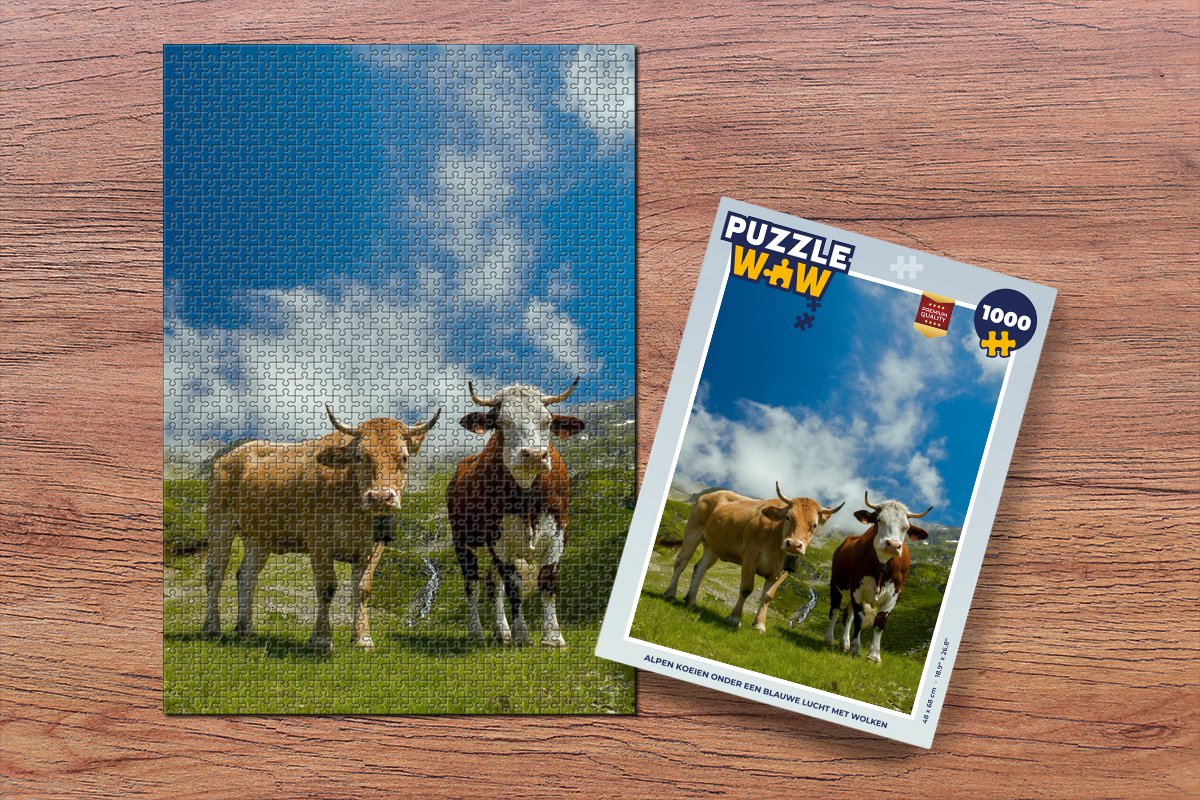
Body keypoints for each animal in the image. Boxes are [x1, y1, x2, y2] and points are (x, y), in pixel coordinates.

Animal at [202, 404, 440, 653]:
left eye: (403, 457)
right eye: (360, 456)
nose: (380, 497)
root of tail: (231, 455)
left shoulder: (373, 547)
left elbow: (363, 589)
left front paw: (362, 637)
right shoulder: (319, 540)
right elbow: (326, 588)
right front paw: (322, 639)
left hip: (258, 537)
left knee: (246, 576)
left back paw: (246, 629)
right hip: (219, 521)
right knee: (215, 573)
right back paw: (212, 628)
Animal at [447, 378, 585, 648]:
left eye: (547, 422)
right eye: (502, 423)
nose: (534, 454)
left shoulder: (559, 531)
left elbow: (547, 581)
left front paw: (553, 637)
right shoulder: (497, 539)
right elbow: (514, 586)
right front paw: (522, 634)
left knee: (493, 586)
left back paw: (503, 632)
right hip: (463, 542)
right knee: (473, 586)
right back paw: (477, 632)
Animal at [664, 483, 844, 631]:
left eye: (814, 525)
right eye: (788, 517)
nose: (793, 544)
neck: (776, 544)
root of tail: (711, 495)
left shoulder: (783, 572)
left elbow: (768, 596)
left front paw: (759, 624)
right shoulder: (750, 556)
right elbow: (746, 589)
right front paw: (735, 618)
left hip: (713, 546)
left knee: (700, 569)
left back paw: (691, 600)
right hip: (693, 530)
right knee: (682, 562)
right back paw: (670, 593)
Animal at [826, 492, 932, 664]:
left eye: (906, 527)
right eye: (879, 520)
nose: (893, 545)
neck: (882, 566)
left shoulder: (894, 594)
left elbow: (880, 622)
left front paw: (874, 656)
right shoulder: (857, 589)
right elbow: (859, 619)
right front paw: (856, 649)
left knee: (847, 616)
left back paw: (844, 644)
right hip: (836, 585)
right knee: (834, 612)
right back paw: (829, 639)